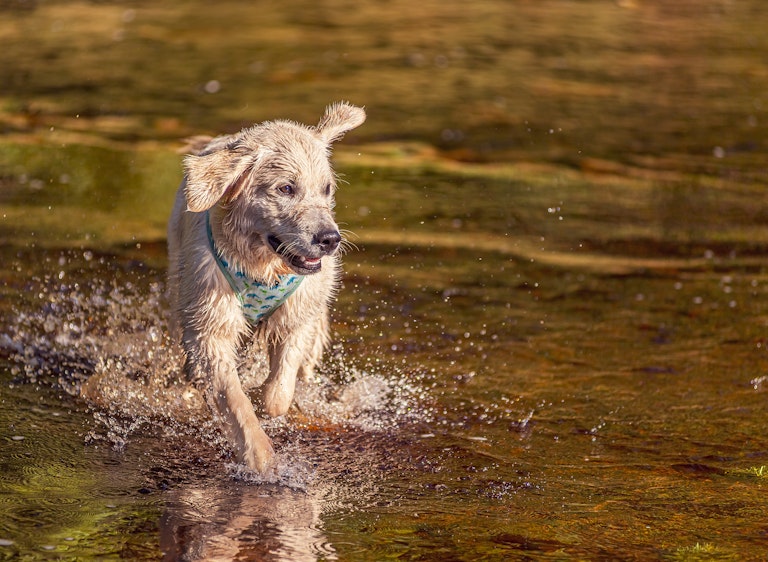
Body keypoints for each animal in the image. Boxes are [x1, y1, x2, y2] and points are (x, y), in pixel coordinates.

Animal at [170, 103, 368, 470]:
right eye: (286, 188)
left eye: (327, 188)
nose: (330, 239)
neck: (263, 266)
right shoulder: (211, 325)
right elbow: (234, 398)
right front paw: (259, 456)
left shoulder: (299, 314)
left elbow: (279, 389)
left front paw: (266, 401)